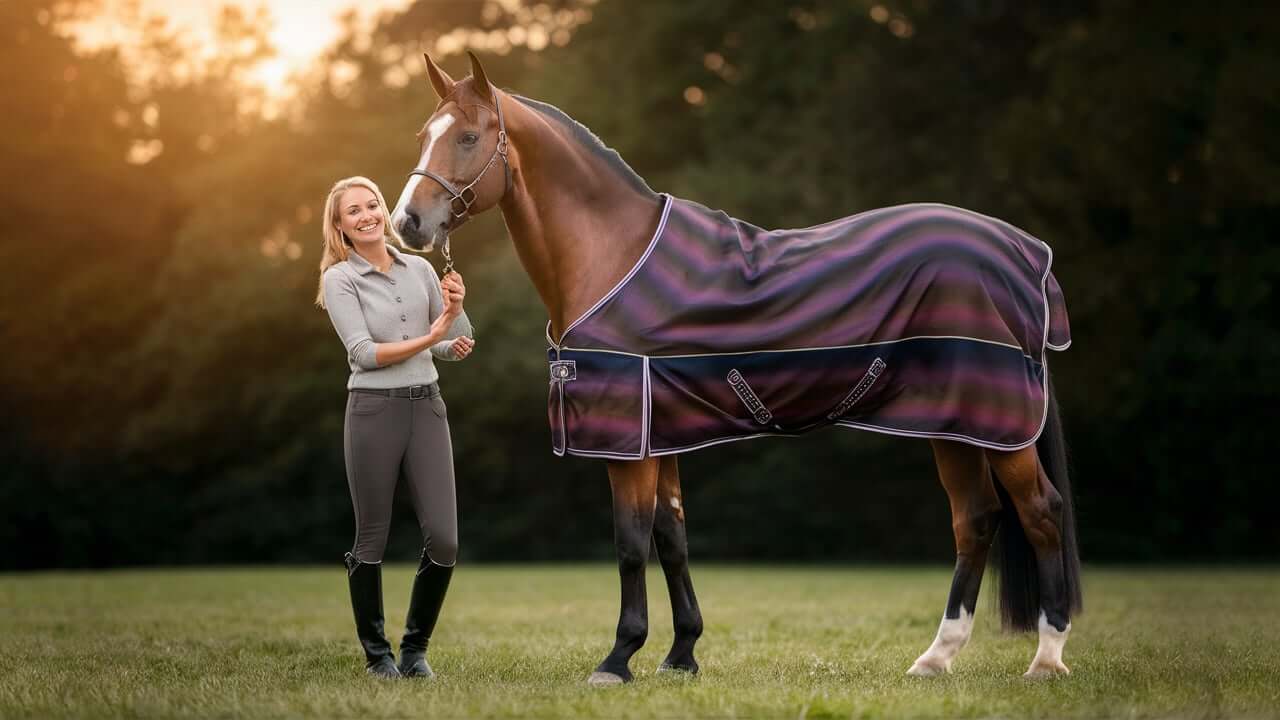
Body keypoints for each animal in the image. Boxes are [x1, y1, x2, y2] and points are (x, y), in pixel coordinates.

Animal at [389, 52, 1082, 684]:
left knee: (1041, 512)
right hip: (953, 426)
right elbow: (671, 537)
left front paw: (618, 658)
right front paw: (681, 654)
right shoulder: (660, 433)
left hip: (997, 426)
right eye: (422, 133)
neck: (612, 253)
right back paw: (935, 659)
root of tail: (1026, 253)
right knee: (976, 520)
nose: (408, 223)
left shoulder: (628, 439)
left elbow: (631, 541)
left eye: (468, 136)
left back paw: (1046, 660)